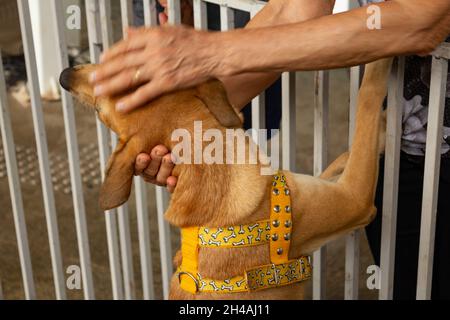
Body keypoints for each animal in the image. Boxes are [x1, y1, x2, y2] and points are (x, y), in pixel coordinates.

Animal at [60, 58, 394, 300]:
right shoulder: (355, 200)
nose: (64, 74)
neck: (209, 163)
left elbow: (342, 159)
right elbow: (368, 101)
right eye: (101, 112)